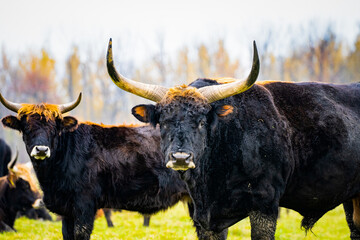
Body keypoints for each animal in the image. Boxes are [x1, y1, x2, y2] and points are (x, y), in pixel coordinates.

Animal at [0, 94, 190, 240]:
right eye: (26, 127)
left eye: (54, 128)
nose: (41, 150)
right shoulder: (66, 211)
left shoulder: (84, 205)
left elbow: (81, 234)